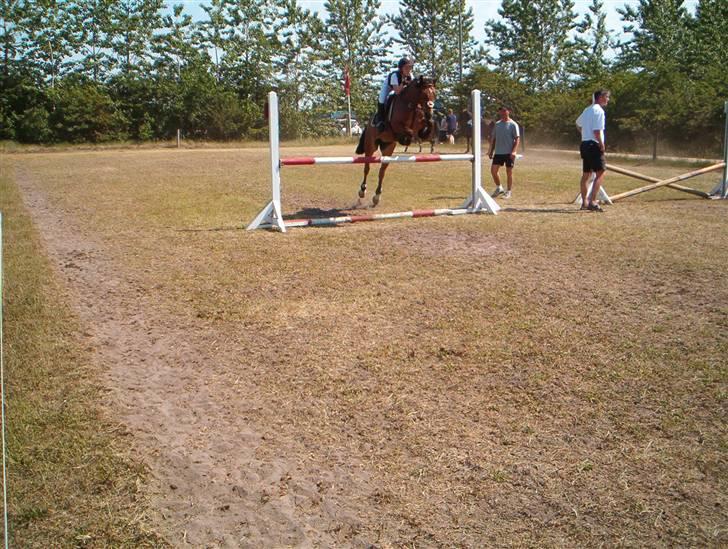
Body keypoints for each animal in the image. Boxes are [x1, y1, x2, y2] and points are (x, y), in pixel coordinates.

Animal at [355, 76, 436, 207]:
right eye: (424, 94)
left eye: (434, 94)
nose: (430, 112)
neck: (411, 105)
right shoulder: (397, 125)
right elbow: (409, 132)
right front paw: (406, 139)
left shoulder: (421, 123)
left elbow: (429, 125)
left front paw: (425, 132)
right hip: (370, 146)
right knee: (367, 168)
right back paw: (362, 190)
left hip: (388, 148)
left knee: (382, 172)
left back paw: (377, 196)